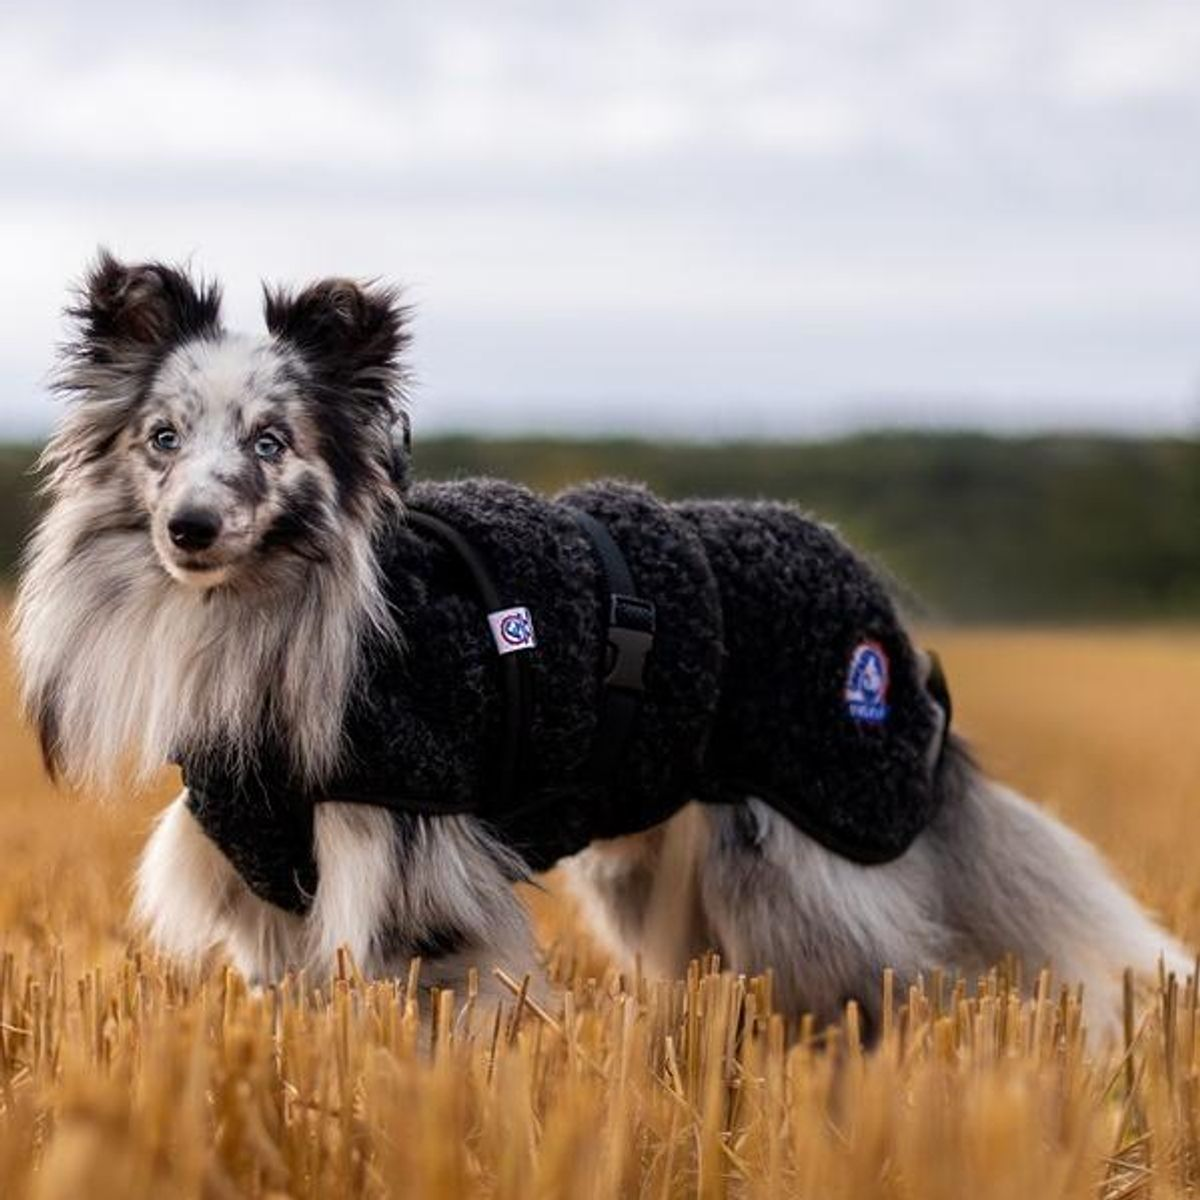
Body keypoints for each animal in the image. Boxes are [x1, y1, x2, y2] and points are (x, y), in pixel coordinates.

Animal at [11, 250, 1190, 1032]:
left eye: (270, 443)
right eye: (163, 440)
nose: (191, 529)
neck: (265, 611)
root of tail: (878, 607)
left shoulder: (404, 872)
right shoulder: (265, 891)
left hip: (805, 856)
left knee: (900, 984)